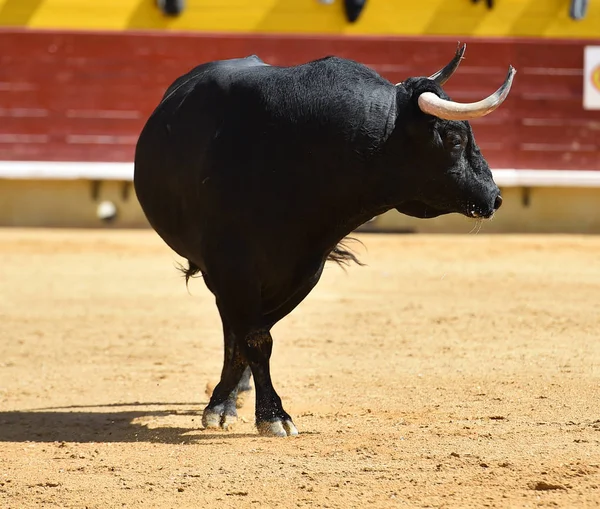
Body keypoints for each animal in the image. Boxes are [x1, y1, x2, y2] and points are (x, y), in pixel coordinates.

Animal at [134, 44, 512, 436]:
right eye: (455, 139)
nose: (495, 197)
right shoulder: (231, 267)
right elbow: (255, 337)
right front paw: (267, 414)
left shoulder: (307, 266)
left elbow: (257, 332)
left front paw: (238, 402)